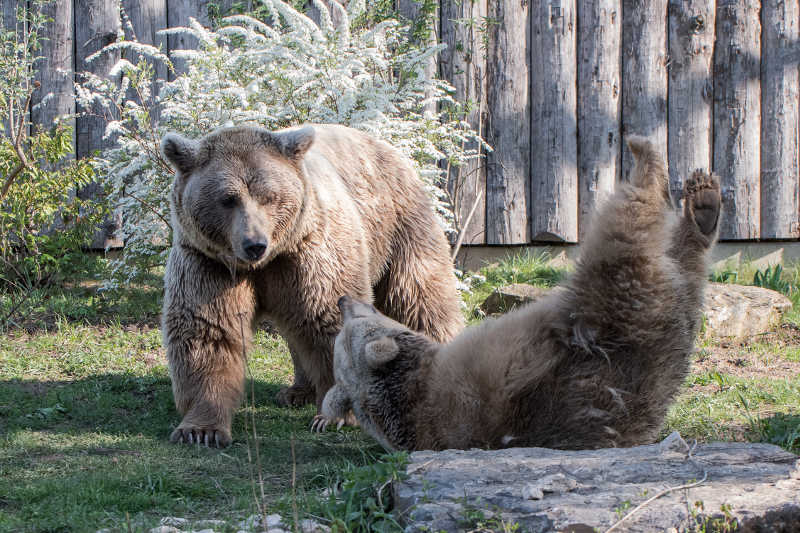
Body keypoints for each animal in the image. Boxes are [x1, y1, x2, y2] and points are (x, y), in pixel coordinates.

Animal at [161, 123, 462, 444]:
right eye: (228, 198)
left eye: (269, 196)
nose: (254, 244)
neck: (266, 261)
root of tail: (385, 146)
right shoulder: (208, 264)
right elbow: (208, 333)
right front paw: (200, 430)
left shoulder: (311, 251)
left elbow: (325, 320)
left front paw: (332, 415)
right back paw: (297, 391)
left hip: (398, 225)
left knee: (421, 298)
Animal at [316, 136, 720, 448]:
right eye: (353, 326)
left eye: (362, 315)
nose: (345, 300)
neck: (412, 385)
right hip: (614, 302)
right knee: (631, 228)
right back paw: (654, 163)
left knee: (683, 266)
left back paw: (703, 206)